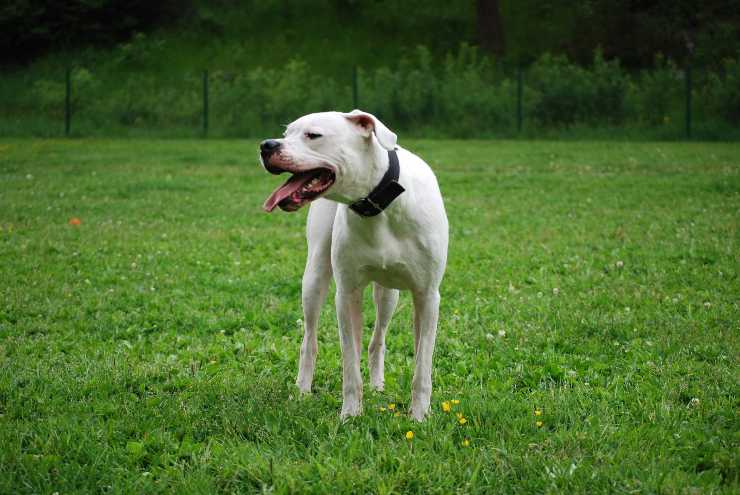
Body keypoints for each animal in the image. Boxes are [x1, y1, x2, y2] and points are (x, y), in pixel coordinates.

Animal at [258, 110, 448, 420]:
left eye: (313, 135)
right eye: (286, 133)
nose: (267, 145)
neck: (378, 205)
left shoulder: (428, 296)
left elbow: (422, 365)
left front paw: (419, 417)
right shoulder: (346, 295)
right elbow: (349, 364)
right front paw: (350, 414)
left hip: (389, 295)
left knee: (377, 339)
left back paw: (378, 385)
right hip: (314, 277)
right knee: (309, 339)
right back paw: (302, 390)